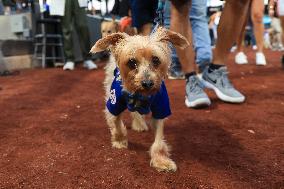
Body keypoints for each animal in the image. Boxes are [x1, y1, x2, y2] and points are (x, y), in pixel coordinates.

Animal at [91, 27, 189, 171]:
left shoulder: (161, 107)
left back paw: (139, 123)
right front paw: (119, 139)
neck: (139, 94)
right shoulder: (114, 103)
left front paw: (161, 160)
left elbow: (159, 139)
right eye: (132, 62)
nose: (147, 83)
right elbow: (116, 121)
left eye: (156, 60)